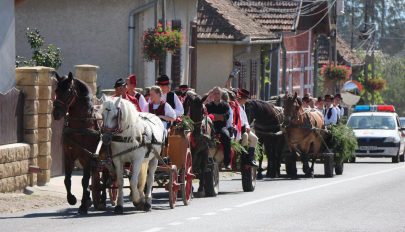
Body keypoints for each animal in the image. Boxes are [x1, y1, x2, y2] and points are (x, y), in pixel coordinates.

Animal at [51, 71, 100, 215]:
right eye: (56, 90)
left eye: (68, 91)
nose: (56, 113)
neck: (81, 126)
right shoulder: (69, 155)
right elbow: (67, 179)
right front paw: (72, 199)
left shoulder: (88, 156)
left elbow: (84, 180)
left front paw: (83, 204)